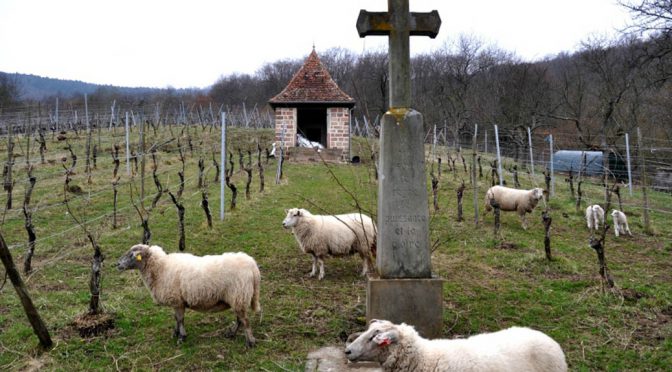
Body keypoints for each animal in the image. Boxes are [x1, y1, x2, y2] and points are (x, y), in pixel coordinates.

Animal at [117, 244, 262, 346]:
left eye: (131, 255)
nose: (117, 264)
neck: (161, 268)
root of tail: (253, 266)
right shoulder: (176, 301)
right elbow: (176, 318)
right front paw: (175, 333)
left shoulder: (177, 300)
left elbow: (180, 319)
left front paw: (181, 337)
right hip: (238, 297)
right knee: (239, 319)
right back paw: (231, 334)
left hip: (239, 295)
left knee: (244, 320)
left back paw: (250, 342)